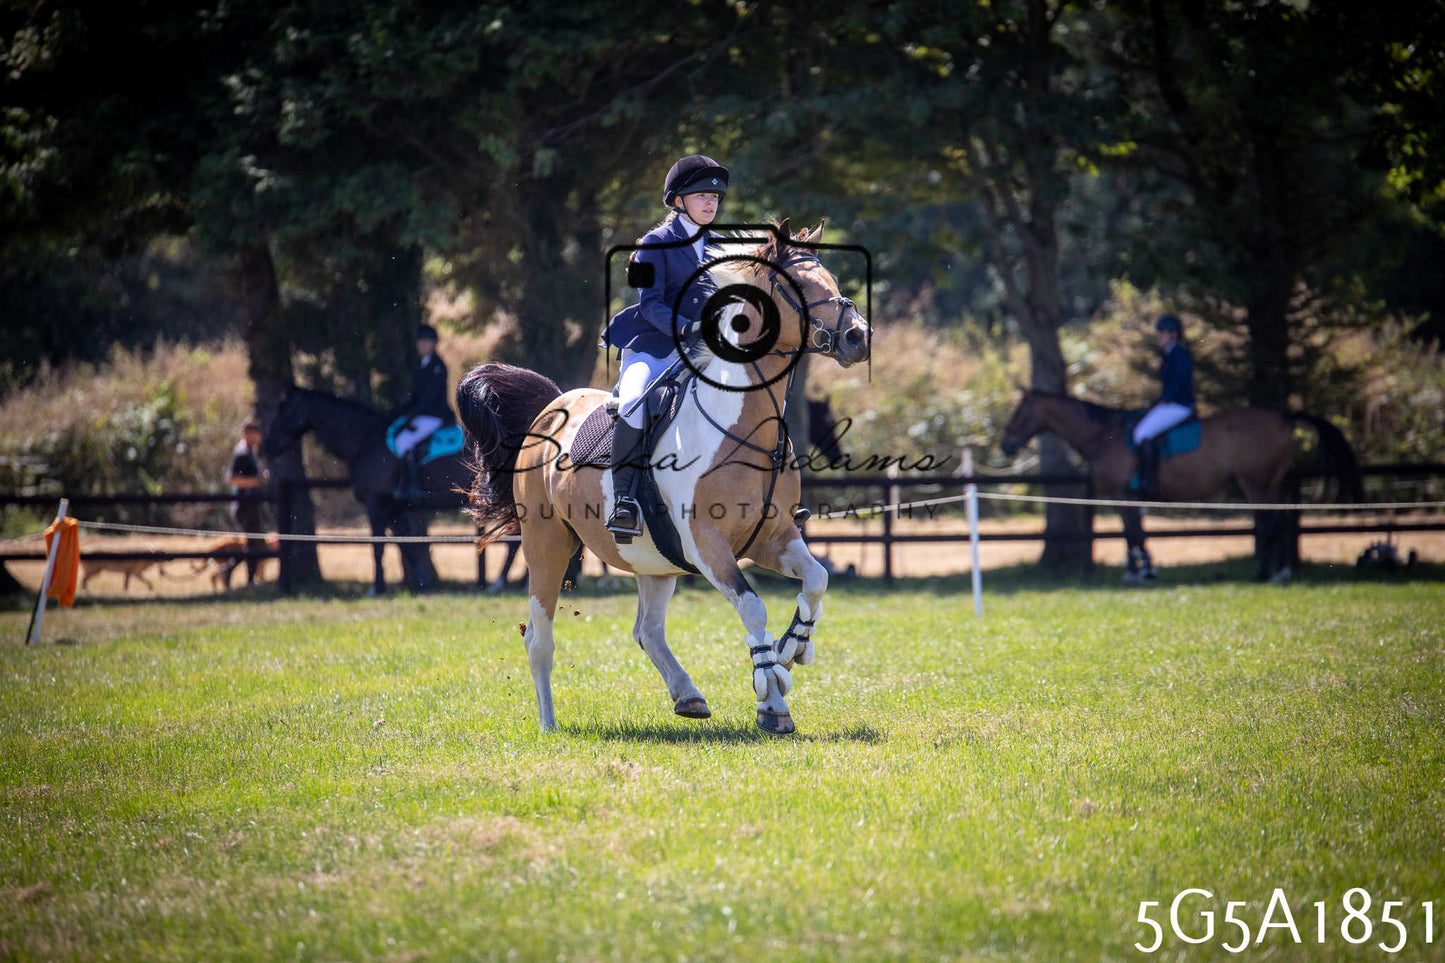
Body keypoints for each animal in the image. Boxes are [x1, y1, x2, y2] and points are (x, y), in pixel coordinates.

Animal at [262, 387, 512, 595]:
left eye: (284, 410)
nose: (267, 444)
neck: (364, 440)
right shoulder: (394, 507)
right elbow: (406, 545)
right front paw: (421, 584)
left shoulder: (375, 502)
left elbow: (378, 546)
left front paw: (377, 587)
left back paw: (499, 583)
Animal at [458, 221, 870, 735]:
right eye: (799, 286)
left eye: (830, 277)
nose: (857, 337)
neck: (741, 423)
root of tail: (551, 408)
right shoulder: (707, 544)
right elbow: (752, 605)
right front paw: (771, 693)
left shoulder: (771, 537)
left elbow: (817, 578)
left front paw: (792, 647)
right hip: (547, 541)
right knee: (539, 638)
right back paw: (550, 726)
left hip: (653, 558)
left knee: (647, 631)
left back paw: (688, 695)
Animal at [998, 389, 1363, 583]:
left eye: (1019, 413)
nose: (1006, 445)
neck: (1102, 434)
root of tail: (1284, 416)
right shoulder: (1128, 497)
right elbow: (1134, 533)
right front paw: (1141, 569)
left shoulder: (1122, 494)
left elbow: (1133, 533)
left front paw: (1141, 572)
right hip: (1272, 480)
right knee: (1283, 518)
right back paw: (1282, 571)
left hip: (1255, 480)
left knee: (1268, 521)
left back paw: (1264, 573)